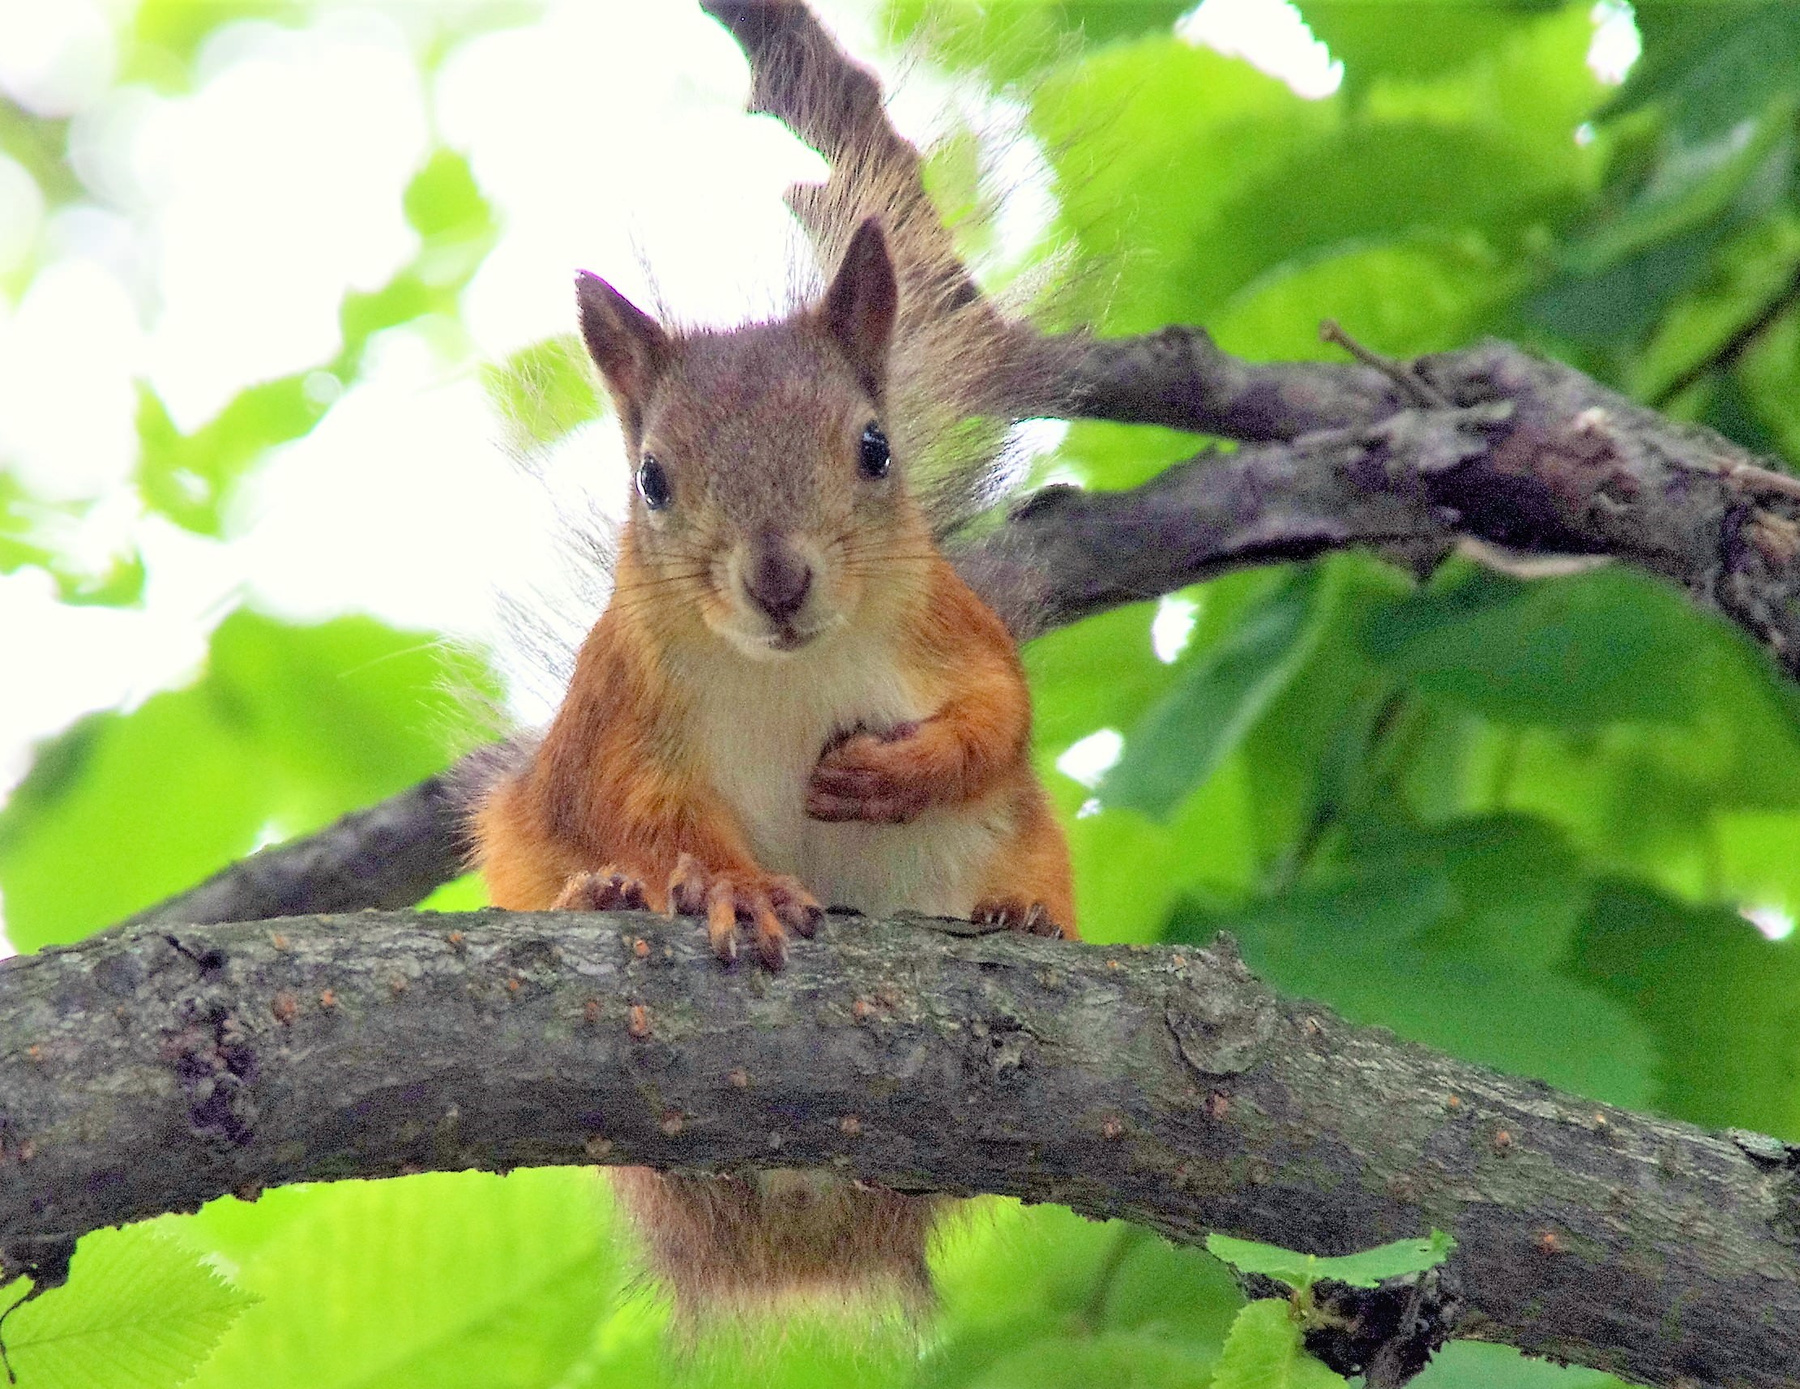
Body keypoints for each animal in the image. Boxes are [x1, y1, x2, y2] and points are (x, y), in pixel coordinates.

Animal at [471, 7, 1075, 1325]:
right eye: (652, 480)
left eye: (875, 448)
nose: (779, 581)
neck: (790, 669)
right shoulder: (621, 714)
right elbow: (641, 809)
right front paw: (732, 886)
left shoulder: (952, 630)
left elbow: (1001, 720)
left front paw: (900, 774)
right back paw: (604, 898)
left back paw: (1021, 912)